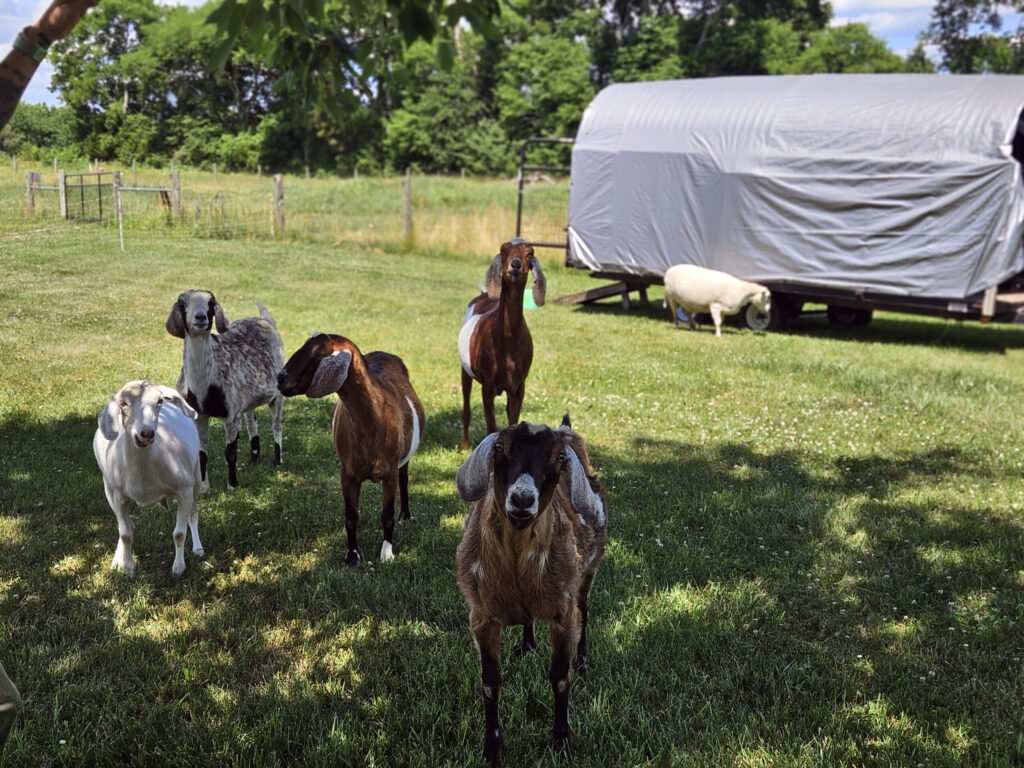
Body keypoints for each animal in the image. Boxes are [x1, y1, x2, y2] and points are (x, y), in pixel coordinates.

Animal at [93, 380, 204, 576]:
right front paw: (127, 567)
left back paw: (198, 549)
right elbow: (125, 533)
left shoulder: (184, 489)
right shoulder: (118, 495)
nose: (146, 434)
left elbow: (179, 533)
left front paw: (178, 567)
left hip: (196, 475)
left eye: (159, 401)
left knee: (193, 514)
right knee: (123, 525)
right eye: (123, 403)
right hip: (108, 487)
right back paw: (117, 560)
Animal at [166, 289, 285, 489]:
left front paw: (232, 485)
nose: (200, 317)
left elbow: (230, 452)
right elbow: (202, 454)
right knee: (251, 422)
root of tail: (264, 320)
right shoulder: (199, 415)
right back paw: (253, 459)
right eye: (182, 303)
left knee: (276, 425)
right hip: (248, 399)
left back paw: (277, 461)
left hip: (278, 393)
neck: (203, 389)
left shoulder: (231, 415)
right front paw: (204, 487)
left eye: (211, 303)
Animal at [277, 333, 425, 565]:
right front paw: (352, 556)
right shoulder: (347, 473)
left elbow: (387, 515)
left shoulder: (389, 473)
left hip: (403, 459)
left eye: (319, 353)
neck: (372, 421)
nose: (280, 379)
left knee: (404, 479)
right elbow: (351, 516)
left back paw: (406, 515)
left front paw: (387, 554)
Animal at [455, 416, 607, 764]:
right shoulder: (481, 617)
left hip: (588, 575)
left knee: (586, 614)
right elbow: (490, 683)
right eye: (500, 447)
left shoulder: (563, 612)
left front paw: (561, 742)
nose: (522, 499)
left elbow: (560, 678)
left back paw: (583, 663)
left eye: (559, 459)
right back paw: (527, 645)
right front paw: (492, 749)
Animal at [458, 238, 546, 451]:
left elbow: (513, 423)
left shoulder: (518, 389)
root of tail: (482, 294)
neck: (507, 340)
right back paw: (463, 446)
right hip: (465, 371)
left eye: (530, 253)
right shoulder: (488, 388)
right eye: (504, 250)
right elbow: (491, 428)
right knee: (466, 408)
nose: (515, 265)